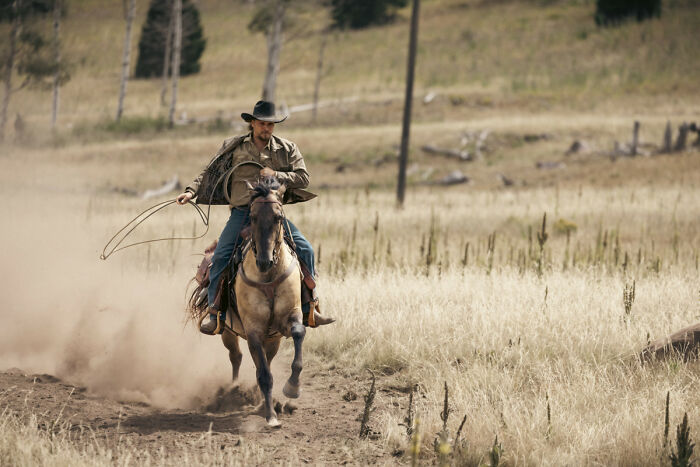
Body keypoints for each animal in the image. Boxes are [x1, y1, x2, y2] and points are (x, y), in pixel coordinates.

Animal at [188, 176, 306, 428]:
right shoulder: (253, 330)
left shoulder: (290, 316)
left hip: (272, 338)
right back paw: (234, 390)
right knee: (237, 357)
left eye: (278, 217)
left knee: (265, 359)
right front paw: (271, 417)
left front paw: (292, 388)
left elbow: (298, 334)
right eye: (251, 217)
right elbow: (264, 375)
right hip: (228, 332)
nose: (264, 261)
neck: (268, 276)